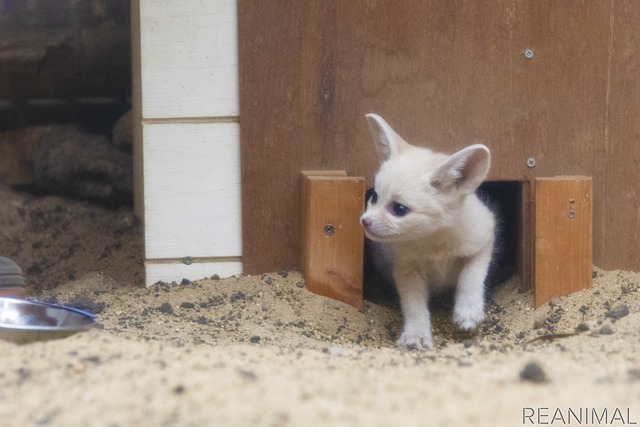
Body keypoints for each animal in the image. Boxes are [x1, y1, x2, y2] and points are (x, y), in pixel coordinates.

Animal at [360, 113, 496, 352]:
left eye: (399, 209)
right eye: (374, 196)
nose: (364, 222)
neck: (434, 242)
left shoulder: (483, 239)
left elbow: (472, 275)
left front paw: (468, 310)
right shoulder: (406, 269)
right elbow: (414, 306)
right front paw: (416, 334)